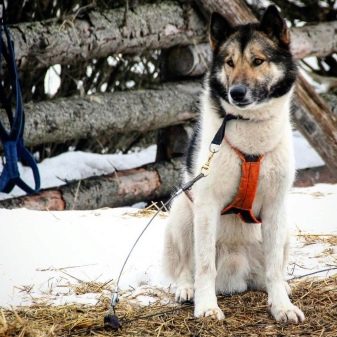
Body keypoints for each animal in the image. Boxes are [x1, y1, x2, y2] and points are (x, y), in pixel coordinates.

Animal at [161, 4, 304, 320]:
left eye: (258, 61)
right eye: (229, 62)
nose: (236, 93)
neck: (250, 130)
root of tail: (237, 271)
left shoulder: (275, 205)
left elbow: (275, 269)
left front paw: (281, 306)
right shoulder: (206, 204)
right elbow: (204, 266)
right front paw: (206, 306)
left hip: (285, 228)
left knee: (270, 269)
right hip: (182, 214)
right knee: (186, 266)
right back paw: (186, 288)